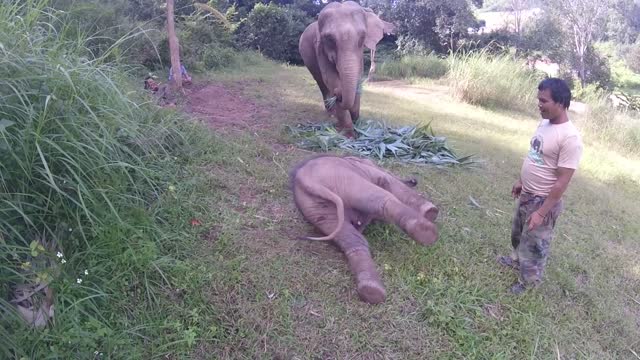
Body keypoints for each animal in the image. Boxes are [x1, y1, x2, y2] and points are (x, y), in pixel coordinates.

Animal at [292, 155, 438, 304]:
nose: (414, 180)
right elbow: (390, 183)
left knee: (353, 239)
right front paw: (430, 211)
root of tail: (306, 178)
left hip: (316, 208)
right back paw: (425, 231)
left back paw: (371, 290)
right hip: (346, 181)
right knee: (382, 200)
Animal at [298, 2, 392, 137]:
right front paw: (349, 135)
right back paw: (331, 112)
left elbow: (358, 76)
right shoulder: (320, 47)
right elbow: (330, 78)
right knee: (321, 82)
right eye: (329, 38)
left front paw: (356, 121)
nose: (339, 94)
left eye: (363, 36)